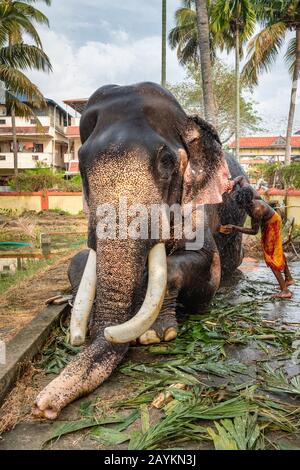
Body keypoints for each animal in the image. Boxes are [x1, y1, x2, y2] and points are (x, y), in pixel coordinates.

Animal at [33, 81, 246, 418]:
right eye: (81, 165)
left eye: (167, 162)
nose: (42, 408)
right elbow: (78, 261)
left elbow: (206, 267)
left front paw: (155, 335)